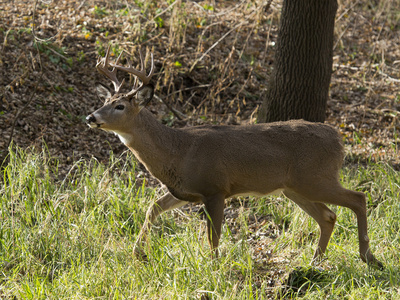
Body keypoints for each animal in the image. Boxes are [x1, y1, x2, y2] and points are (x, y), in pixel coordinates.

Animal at [86, 45, 382, 268]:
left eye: (120, 106)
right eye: (104, 102)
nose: (91, 117)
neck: (177, 151)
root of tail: (339, 139)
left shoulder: (215, 188)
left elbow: (213, 236)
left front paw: (214, 266)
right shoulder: (185, 190)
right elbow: (152, 207)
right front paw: (138, 252)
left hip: (315, 178)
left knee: (358, 198)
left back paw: (367, 256)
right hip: (295, 188)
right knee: (328, 216)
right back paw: (315, 261)